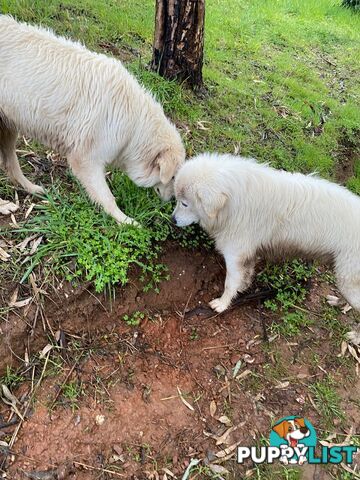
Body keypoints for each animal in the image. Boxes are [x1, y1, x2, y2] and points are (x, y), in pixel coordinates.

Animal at [0, 15, 184, 224]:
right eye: (173, 178)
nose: (172, 205)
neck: (135, 126)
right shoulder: (86, 160)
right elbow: (108, 198)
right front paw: (126, 222)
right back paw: (4, 205)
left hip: (9, 127)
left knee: (10, 164)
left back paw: (30, 187)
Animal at [172, 152, 360, 322]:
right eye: (178, 199)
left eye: (185, 204)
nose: (172, 220)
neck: (233, 202)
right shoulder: (247, 254)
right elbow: (245, 274)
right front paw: (243, 286)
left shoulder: (234, 255)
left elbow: (229, 284)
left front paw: (222, 304)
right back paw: (336, 302)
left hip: (348, 279)